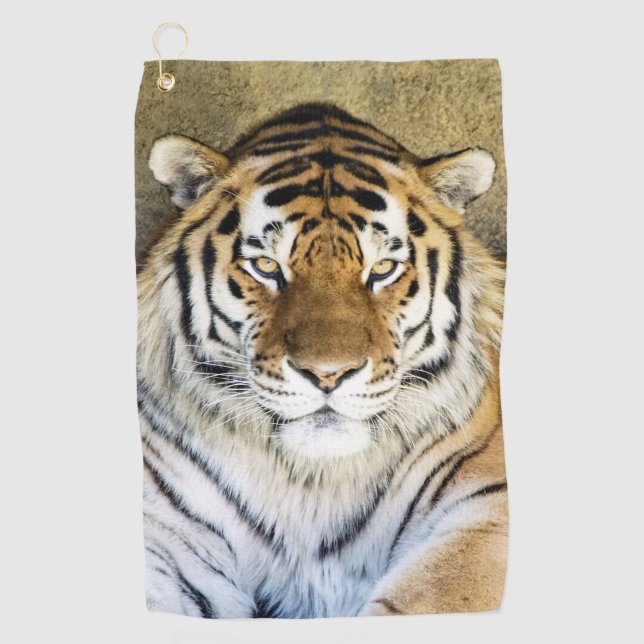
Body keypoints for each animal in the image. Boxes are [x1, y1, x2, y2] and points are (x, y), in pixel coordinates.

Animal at [138, 102, 507, 618]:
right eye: (267, 266)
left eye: (382, 269)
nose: (328, 375)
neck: (311, 481)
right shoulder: (162, 530)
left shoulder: (487, 508)